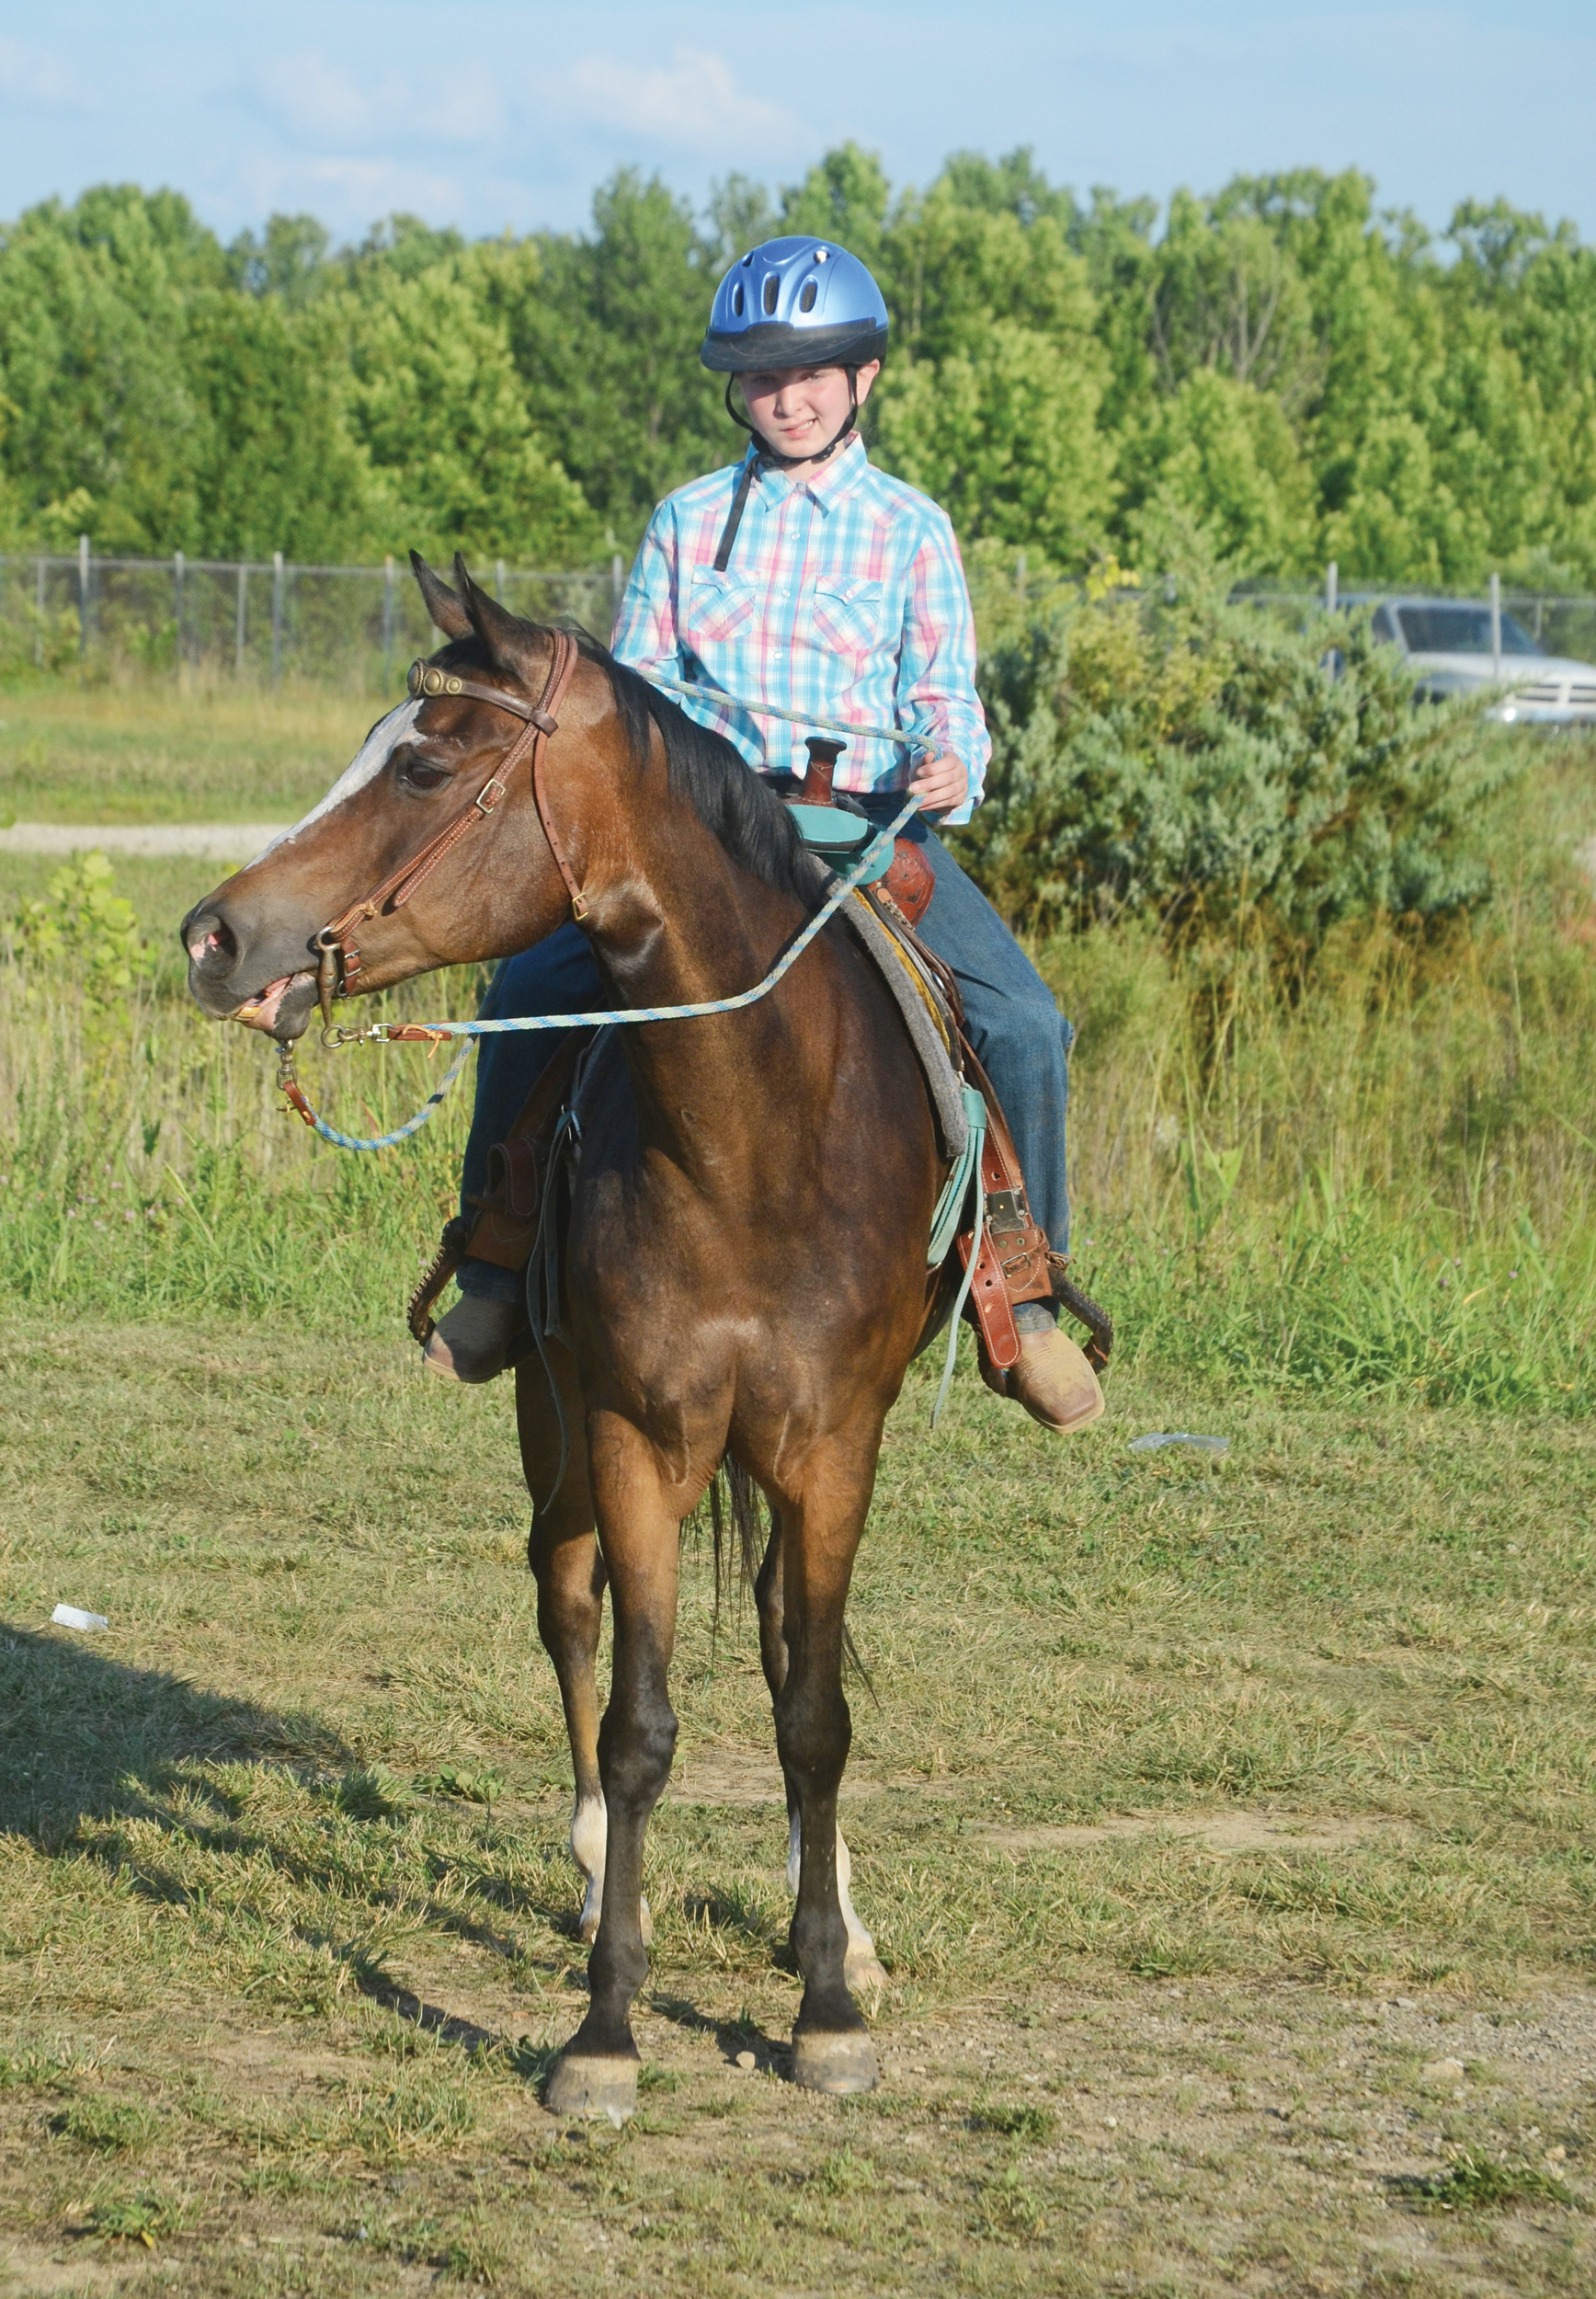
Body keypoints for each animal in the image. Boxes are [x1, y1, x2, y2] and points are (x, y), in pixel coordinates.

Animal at [182, 554, 951, 2115]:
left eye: (422, 764)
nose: (216, 938)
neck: (754, 1135)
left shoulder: (834, 1445)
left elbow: (815, 1707)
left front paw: (829, 1999)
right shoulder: (636, 1434)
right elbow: (638, 1725)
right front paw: (606, 2025)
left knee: (778, 1638)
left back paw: (830, 1913)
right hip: (556, 1421)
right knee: (568, 1605)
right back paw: (599, 1873)